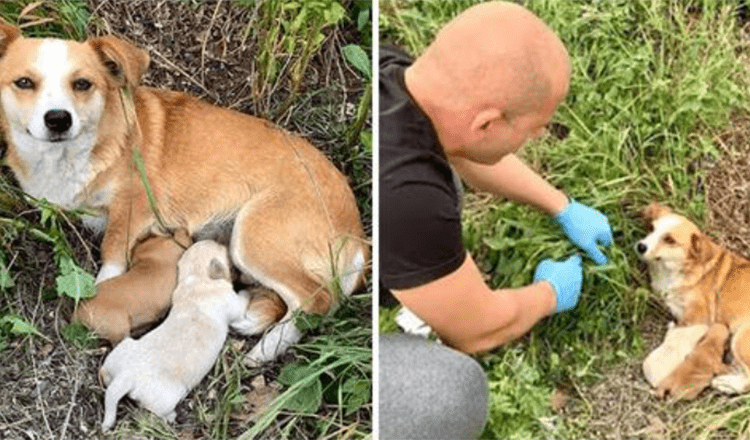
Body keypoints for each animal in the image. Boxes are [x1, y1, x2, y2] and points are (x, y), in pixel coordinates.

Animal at [0, 24, 370, 364]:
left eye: (82, 84)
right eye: (24, 82)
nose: (58, 120)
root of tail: (356, 232)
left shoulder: (131, 209)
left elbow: (112, 255)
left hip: (253, 236)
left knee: (317, 299)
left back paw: (265, 349)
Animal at [99, 241, 253, 430]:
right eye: (223, 252)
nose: (222, 243)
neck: (197, 277)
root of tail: (126, 376)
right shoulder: (233, 305)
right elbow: (242, 302)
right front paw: (247, 291)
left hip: (122, 349)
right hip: (169, 396)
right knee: (156, 409)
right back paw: (171, 416)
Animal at [636, 203, 750, 398]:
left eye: (670, 240)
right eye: (651, 228)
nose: (641, 246)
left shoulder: (698, 314)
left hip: (741, 338)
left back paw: (726, 384)